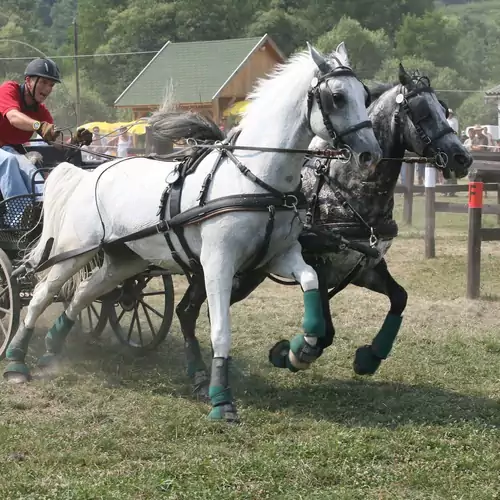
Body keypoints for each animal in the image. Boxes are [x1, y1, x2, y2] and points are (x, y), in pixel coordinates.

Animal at [2, 42, 378, 422]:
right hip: (75, 250)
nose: (370, 154)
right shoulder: (218, 264)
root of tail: (89, 173)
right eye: (336, 97)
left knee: (83, 294)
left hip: (124, 260)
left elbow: (311, 281)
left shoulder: (277, 256)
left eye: (365, 95)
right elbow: (220, 331)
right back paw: (17, 362)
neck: (255, 179)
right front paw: (221, 398)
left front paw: (301, 349)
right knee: (43, 294)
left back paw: (52, 348)